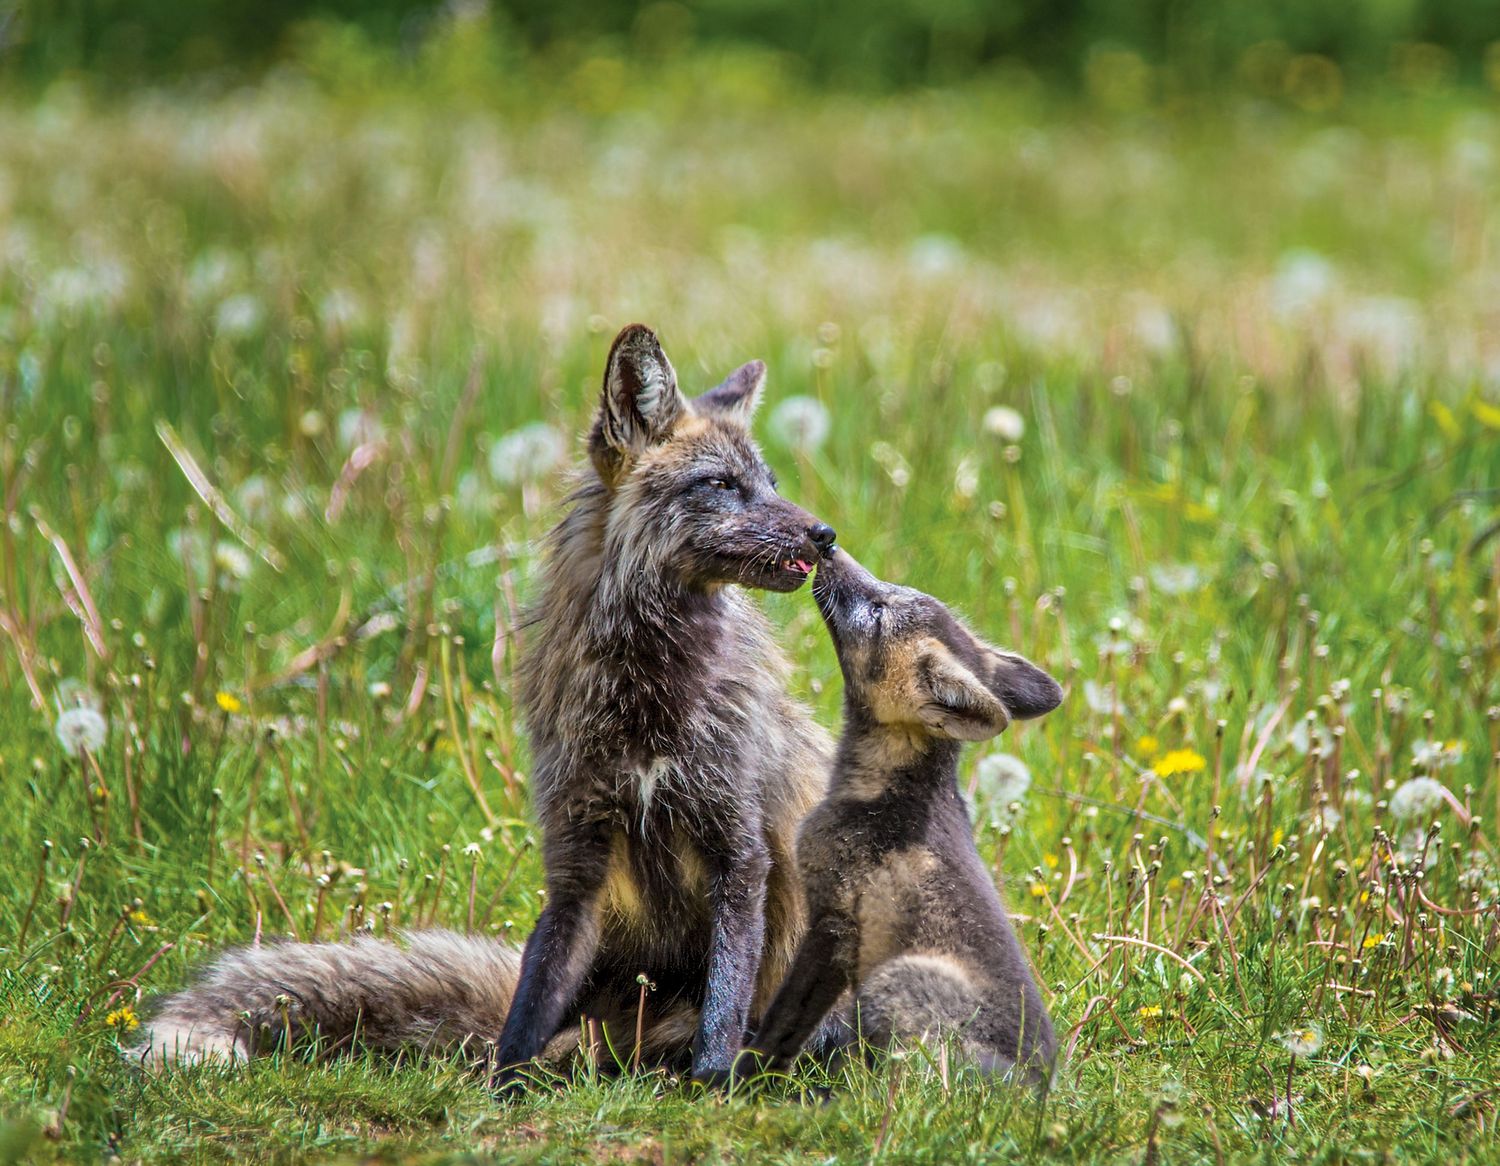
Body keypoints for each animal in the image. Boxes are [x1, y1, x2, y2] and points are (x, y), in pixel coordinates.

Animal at [130, 324, 840, 1083]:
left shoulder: (737, 848)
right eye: (721, 485)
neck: (647, 704)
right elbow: (525, 1016)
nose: (826, 536)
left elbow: (724, 1006)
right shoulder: (576, 859)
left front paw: (711, 1088)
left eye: (770, 485)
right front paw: (501, 1092)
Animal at [743, 547, 1063, 1088]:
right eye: (888, 594)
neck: (881, 790)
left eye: (877, 612)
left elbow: (783, 1024)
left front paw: (736, 1083)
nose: (828, 545)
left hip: (889, 985)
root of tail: (1035, 1088)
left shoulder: (835, 922)